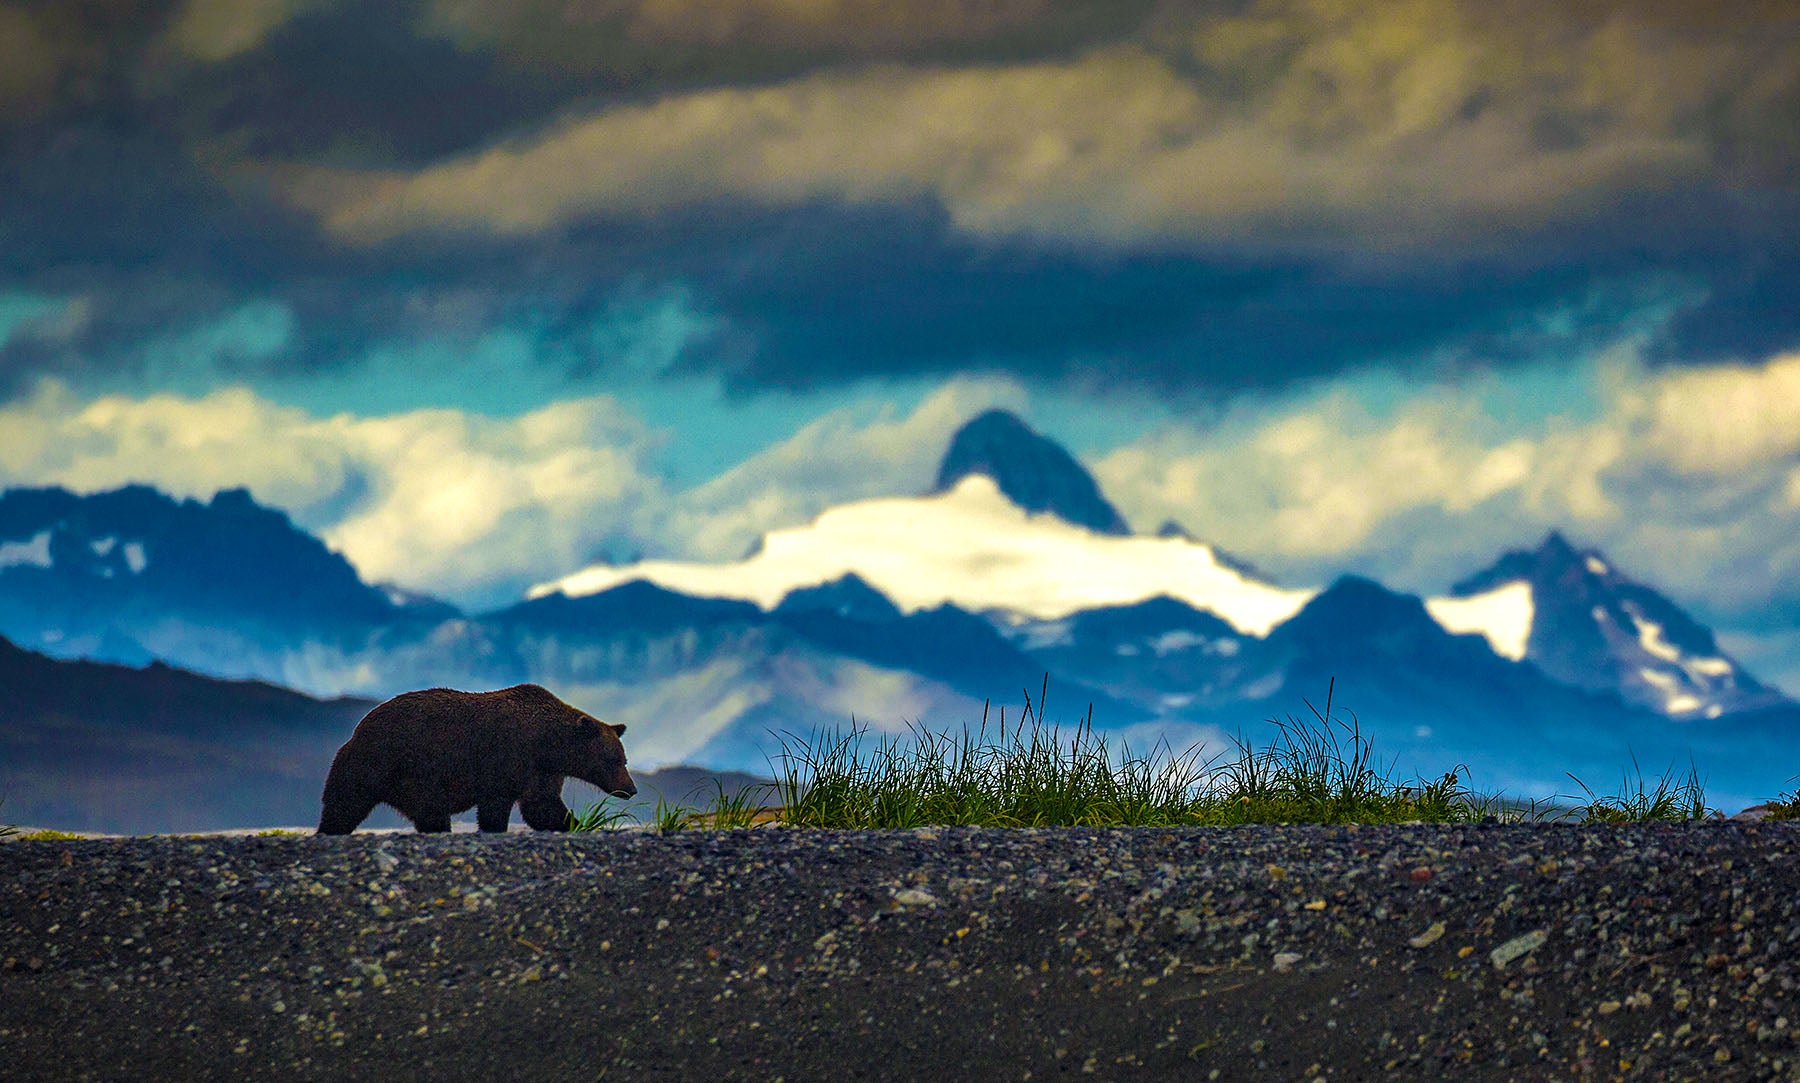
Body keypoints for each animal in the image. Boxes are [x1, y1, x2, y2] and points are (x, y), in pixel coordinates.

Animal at [313, 683, 637, 834]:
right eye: (613, 760)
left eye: (623, 759)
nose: (630, 789)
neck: (547, 746)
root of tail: (358, 730)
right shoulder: (506, 758)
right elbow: (496, 806)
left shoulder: (541, 773)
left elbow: (542, 807)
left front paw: (579, 823)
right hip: (392, 765)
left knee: (344, 809)